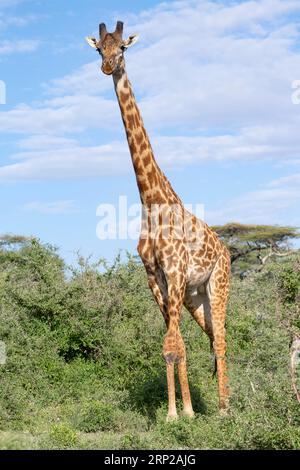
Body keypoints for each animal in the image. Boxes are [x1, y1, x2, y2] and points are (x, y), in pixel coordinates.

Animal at [85, 20, 231, 420]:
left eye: (123, 47)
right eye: (99, 49)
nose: (108, 66)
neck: (151, 201)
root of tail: (227, 250)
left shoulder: (176, 272)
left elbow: (172, 345)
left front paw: (183, 414)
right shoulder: (156, 278)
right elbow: (173, 346)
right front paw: (178, 412)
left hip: (218, 284)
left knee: (222, 338)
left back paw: (226, 409)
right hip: (196, 297)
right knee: (212, 337)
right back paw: (221, 402)